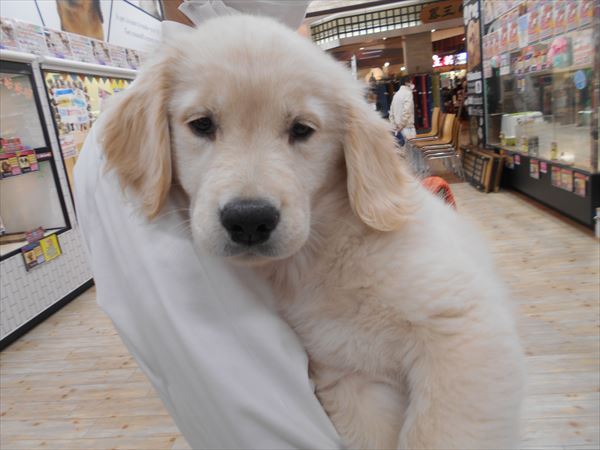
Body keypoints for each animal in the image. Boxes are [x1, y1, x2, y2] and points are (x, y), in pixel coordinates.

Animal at [101, 15, 524, 449]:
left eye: (301, 130)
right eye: (201, 124)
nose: (249, 219)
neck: (326, 249)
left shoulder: (463, 332)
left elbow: (435, 433)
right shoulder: (350, 377)